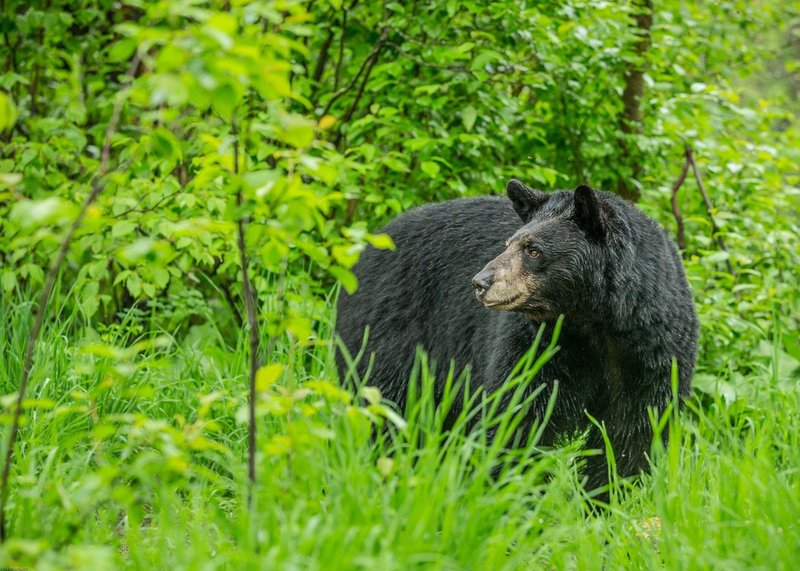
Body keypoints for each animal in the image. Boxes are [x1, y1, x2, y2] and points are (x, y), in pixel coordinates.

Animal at [335, 180, 698, 493]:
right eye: (508, 244)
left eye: (533, 249)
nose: (480, 282)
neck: (593, 321)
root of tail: (367, 248)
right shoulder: (538, 343)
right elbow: (519, 410)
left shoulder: (651, 349)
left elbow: (632, 429)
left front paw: (604, 498)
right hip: (389, 329)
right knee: (383, 399)